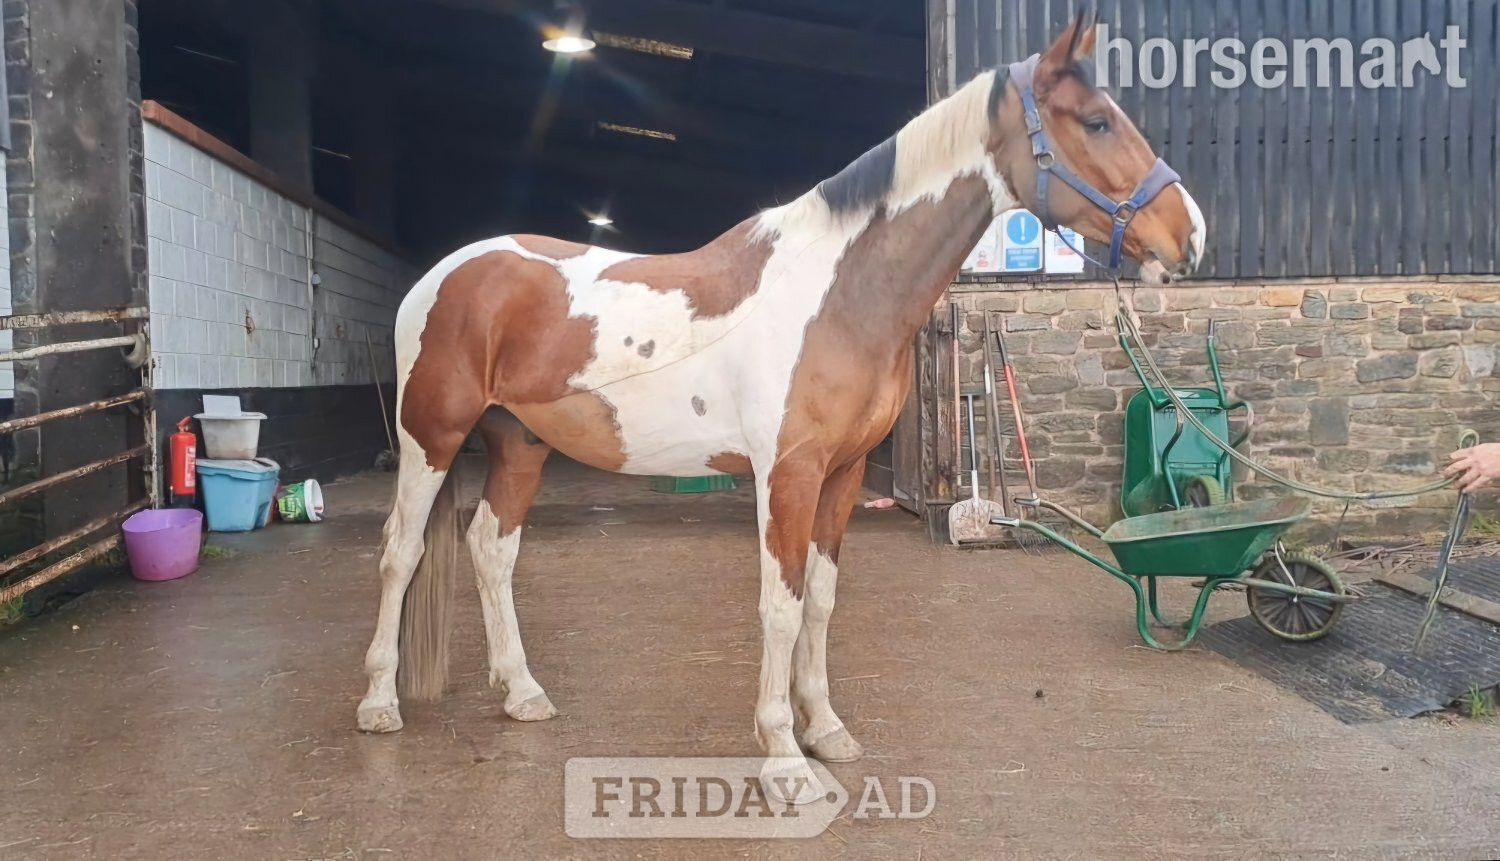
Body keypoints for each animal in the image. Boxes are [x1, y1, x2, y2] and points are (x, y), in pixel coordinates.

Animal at [356, 10, 1204, 801]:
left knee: (491, 548)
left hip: (519, 443)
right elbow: (782, 605)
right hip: (431, 435)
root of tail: (446, 274)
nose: (1190, 234)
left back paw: (523, 692)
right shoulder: (786, 474)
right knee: (401, 550)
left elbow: (821, 600)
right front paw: (785, 757)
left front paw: (825, 728)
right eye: (1095, 121)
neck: (836, 293)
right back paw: (379, 703)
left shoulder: (843, 473)